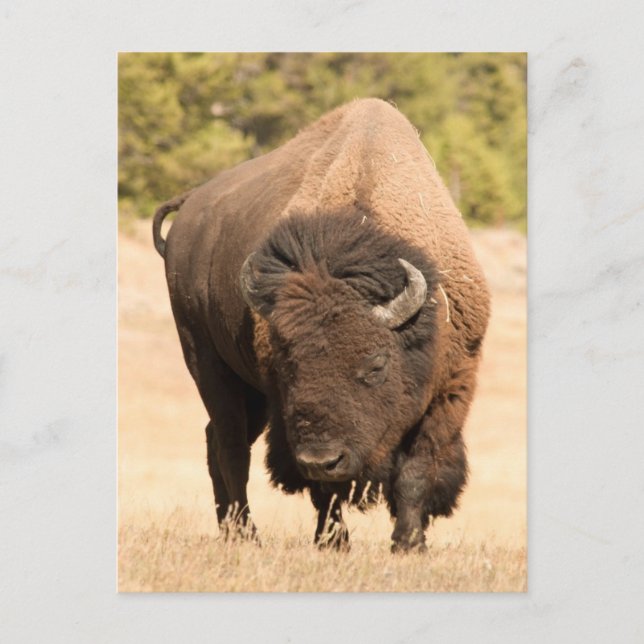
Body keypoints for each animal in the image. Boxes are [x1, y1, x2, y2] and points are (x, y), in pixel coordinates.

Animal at [153, 98, 490, 552]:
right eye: (288, 365)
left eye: (375, 365)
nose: (321, 458)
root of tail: (190, 206)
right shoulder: (287, 413)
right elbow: (325, 490)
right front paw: (334, 543)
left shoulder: (450, 390)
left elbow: (417, 471)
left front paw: (408, 544)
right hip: (207, 363)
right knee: (231, 447)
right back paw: (246, 534)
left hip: (249, 394)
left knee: (216, 442)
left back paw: (230, 530)